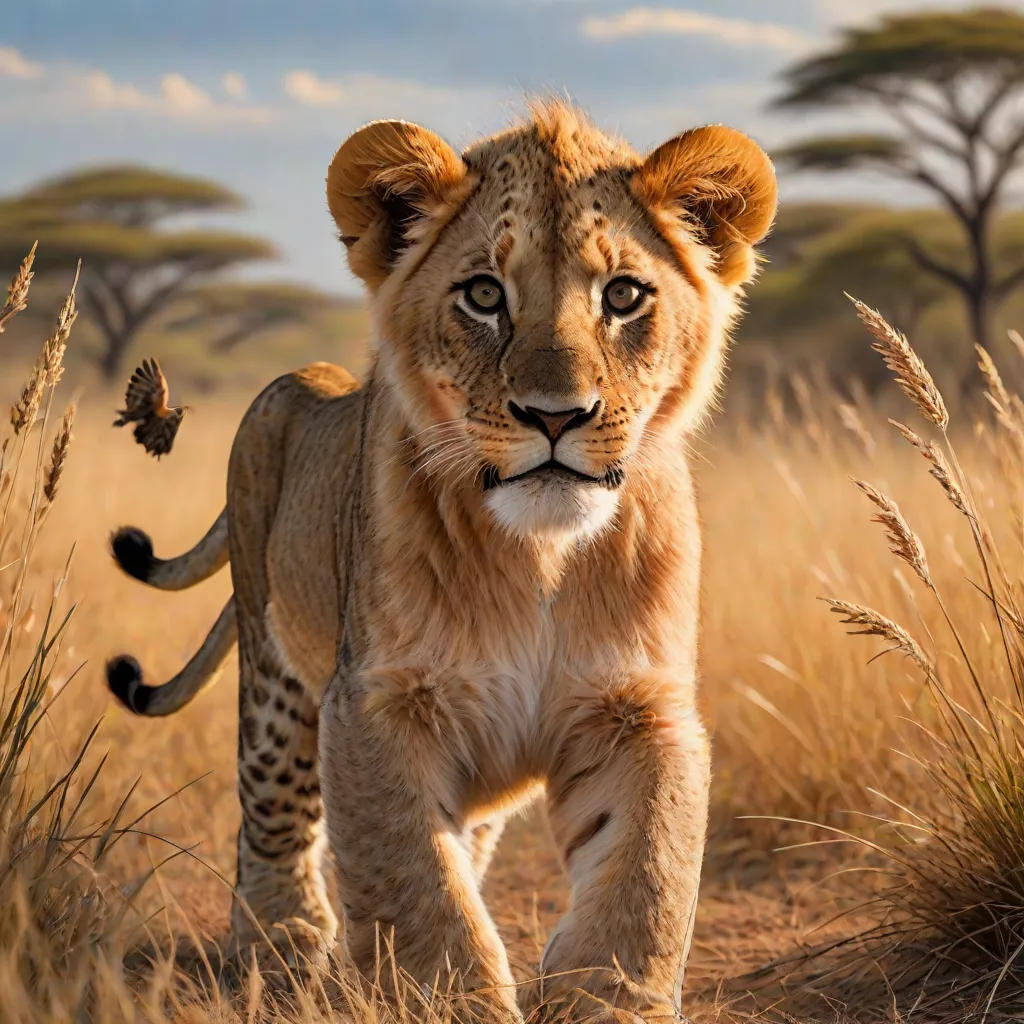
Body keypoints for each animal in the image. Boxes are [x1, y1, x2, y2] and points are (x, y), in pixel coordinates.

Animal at [106, 102, 776, 1022]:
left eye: (624, 295)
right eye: (484, 295)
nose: (556, 415)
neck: (542, 555)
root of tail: (307, 375)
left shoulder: (637, 705)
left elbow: (646, 876)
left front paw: (612, 999)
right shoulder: (378, 700)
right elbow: (419, 886)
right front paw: (447, 998)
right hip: (275, 662)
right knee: (271, 809)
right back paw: (281, 940)